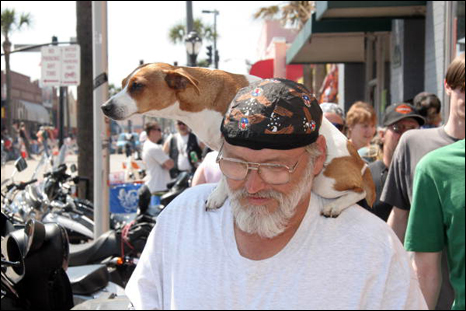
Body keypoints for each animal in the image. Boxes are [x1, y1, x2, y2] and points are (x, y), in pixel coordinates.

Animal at [102, 62, 374, 216]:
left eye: (137, 86)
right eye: (124, 83)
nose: (104, 107)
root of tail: (363, 166)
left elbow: (225, 177)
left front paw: (218, 196)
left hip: (324, 182)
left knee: (359, 192)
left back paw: (336, 205)